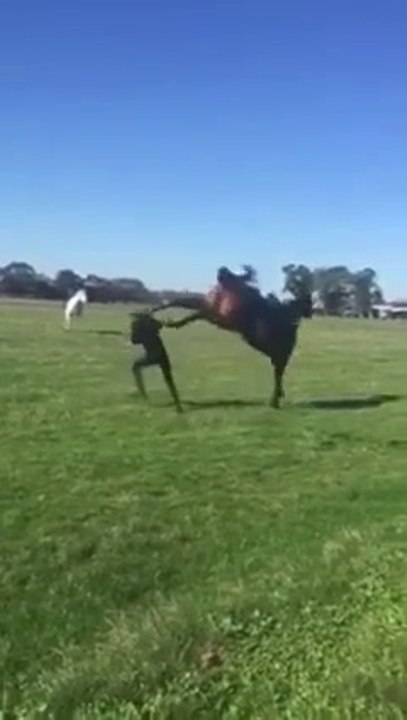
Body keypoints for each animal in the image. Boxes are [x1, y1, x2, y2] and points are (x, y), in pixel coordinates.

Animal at [152, 287, 312, 408]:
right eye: (309, 302)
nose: (310, 313)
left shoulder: (216, 316)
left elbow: (193, 313)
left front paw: (170, 322)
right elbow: (189, 309)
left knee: (278, 376)